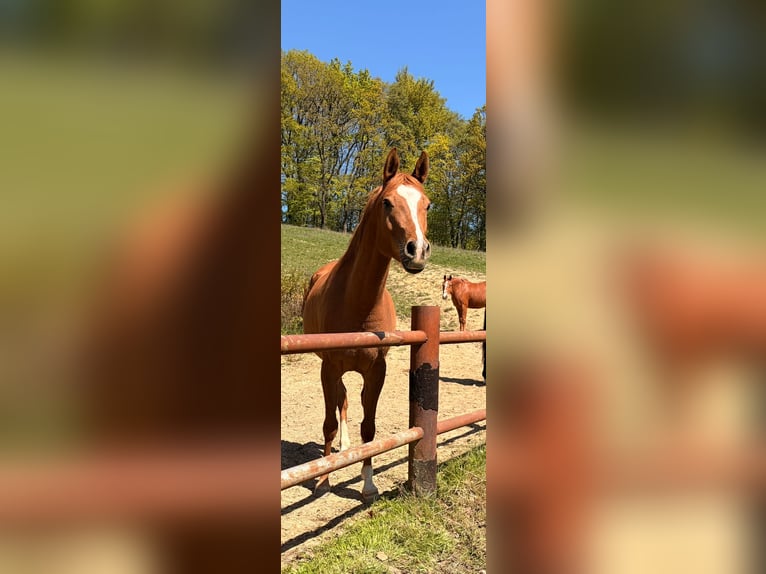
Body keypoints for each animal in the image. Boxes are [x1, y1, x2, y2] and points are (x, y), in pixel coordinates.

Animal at [302, 148, 432, 501]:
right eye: (387, 202)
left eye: (428, 204)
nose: (417, 250)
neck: (357, 302)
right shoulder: (329, 367)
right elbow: (329, 423)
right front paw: (323, 480)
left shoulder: (376, 371)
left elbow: (369, 427)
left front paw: (369, 484)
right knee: (340, 403)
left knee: (347, 401)